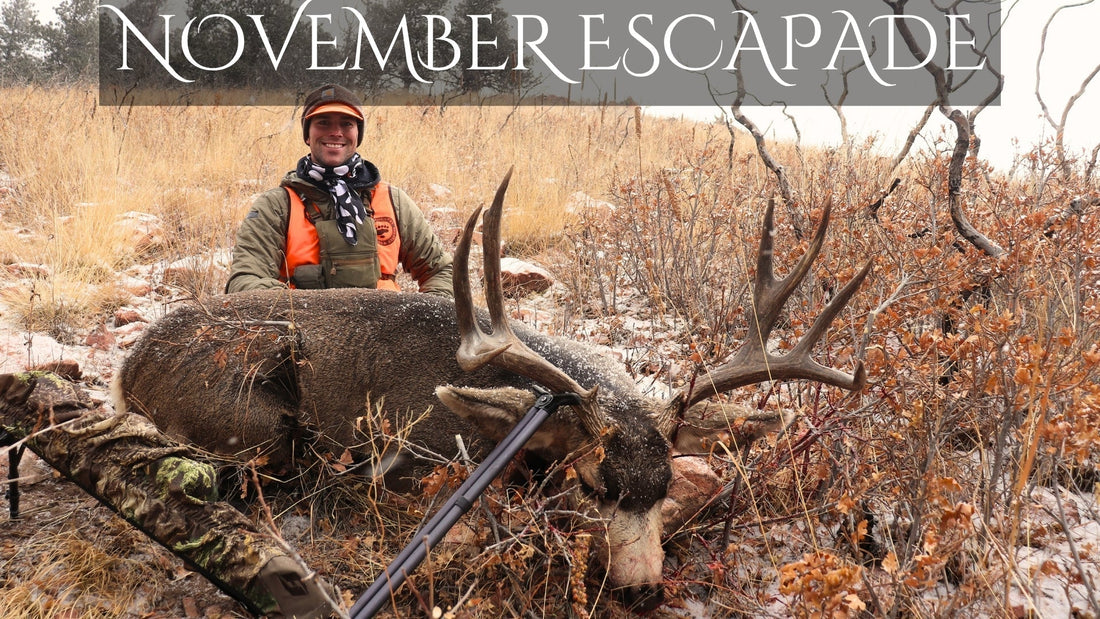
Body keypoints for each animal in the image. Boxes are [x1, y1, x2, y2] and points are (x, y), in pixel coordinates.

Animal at [113, 169, 872, 613]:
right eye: (590, 482)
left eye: (661, 486)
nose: (642, 591)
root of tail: (129, 364)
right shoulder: (426, 453)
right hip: (253, 420)